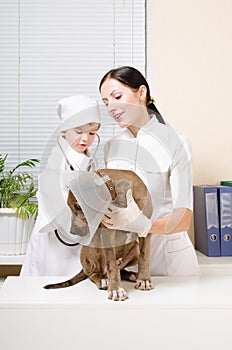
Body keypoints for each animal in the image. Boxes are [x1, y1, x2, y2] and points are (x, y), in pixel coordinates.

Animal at [44, 170, 153, 300]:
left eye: (79, 206)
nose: (73, 232)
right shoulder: (107, 233)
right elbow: (111, 264)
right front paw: (116, 289)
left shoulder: (145, 228)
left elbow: (144, 256)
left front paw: (144, 279)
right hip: (94, 247)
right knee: (93, 273)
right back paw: (103, 280)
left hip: (134, 249)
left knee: (120, 268)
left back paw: (131, 275)